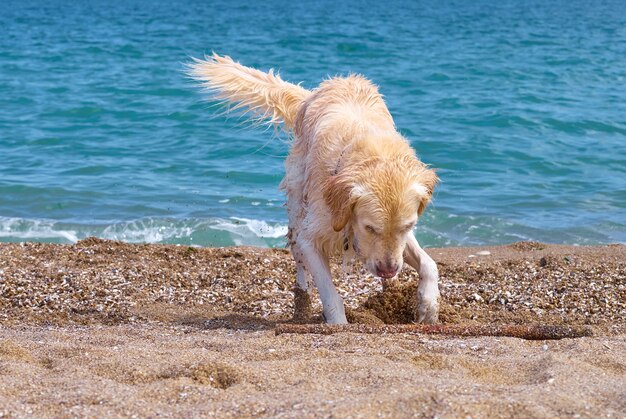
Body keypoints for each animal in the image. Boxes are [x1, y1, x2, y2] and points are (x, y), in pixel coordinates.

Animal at [190, 54, 438, 324]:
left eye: (408, 226)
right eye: (369, 227)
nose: (388, 269)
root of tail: (321, 89)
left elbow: (430, 264)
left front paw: (428, 306)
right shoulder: (311, 236)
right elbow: (329, 293)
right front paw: (338, 323)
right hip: (297, 203)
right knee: (299, 262)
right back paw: (302, 303)